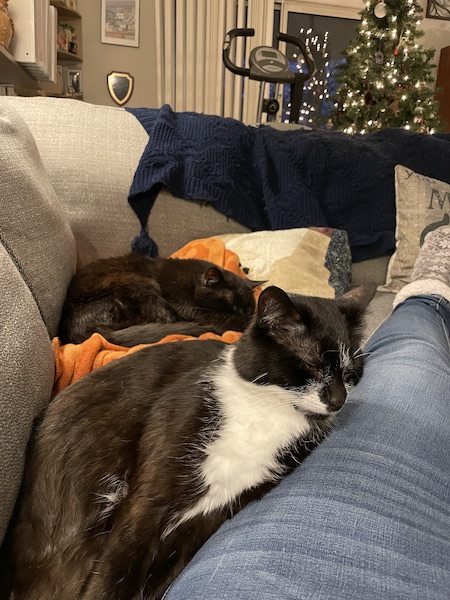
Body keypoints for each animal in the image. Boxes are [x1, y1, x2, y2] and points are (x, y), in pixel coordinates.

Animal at [7, 284, 374, 596]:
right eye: (311, 364)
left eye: (351, 373)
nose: (338, 400)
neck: (268, 413)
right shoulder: (149, 500)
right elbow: (118, 572)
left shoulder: (212, 514)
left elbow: (161, 576)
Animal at [58, 253, 258, 344]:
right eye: (231, 305)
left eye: (249, 308)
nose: (244, 316)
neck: (193, 280)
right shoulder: (184, 305)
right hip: (139, 283)